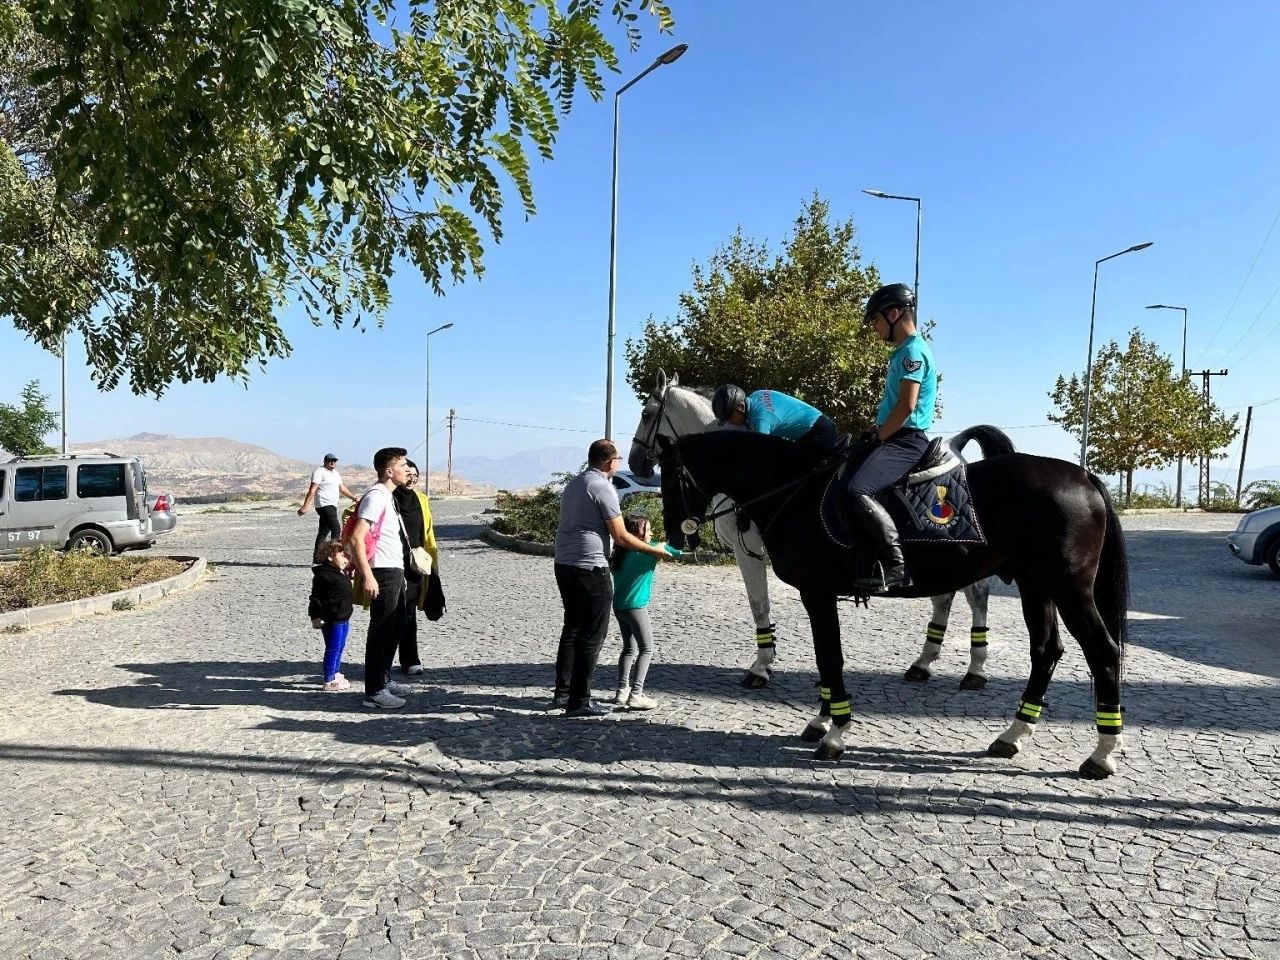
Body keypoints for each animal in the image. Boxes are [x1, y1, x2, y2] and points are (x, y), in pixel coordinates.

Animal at [624, 371, 993, 691]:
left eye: (646, 412)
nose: (635, 464)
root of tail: (955, 449)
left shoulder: (749, 553)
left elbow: (759, 605)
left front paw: (761, 666)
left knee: (976, 595)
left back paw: (974, 669)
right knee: (945, 596)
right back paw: (923, 663)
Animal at [660, 427, 1131, 783]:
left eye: (671, 477)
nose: (676, 534)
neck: (796, 492)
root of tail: (1083, 477)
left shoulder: (817, 592)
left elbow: (830, 658)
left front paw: (835, 733)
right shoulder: (818, 595)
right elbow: (825, 659)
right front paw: (823, 721)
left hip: (1069, 589)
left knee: (1104, 652)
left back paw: (1102, 753)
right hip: (1037, 587)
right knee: (1046, 652)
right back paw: (1012, 735)